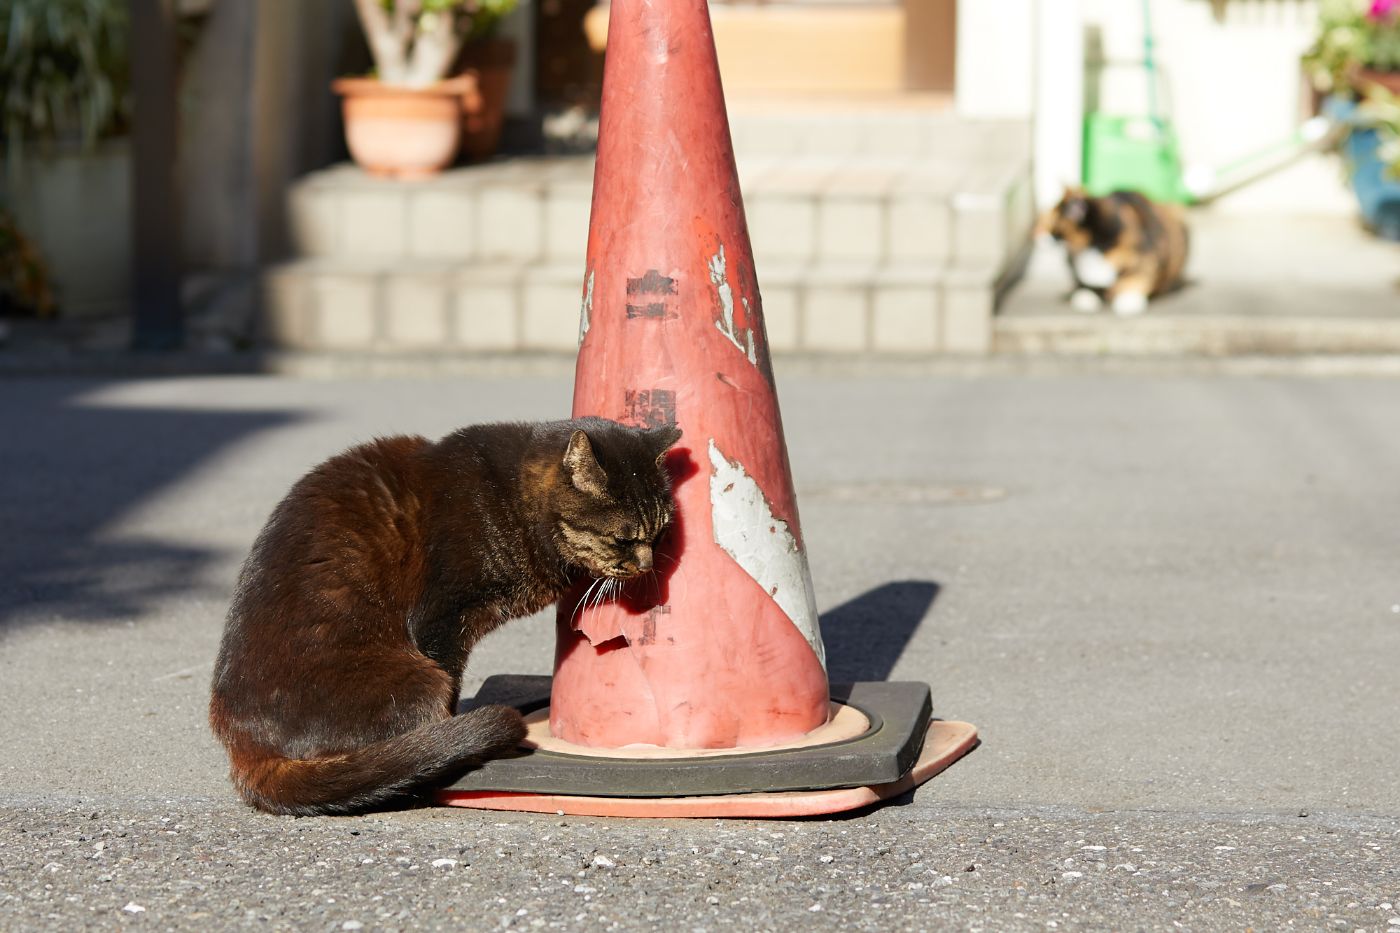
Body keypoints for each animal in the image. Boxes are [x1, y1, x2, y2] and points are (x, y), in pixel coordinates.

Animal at [209, 417, 682, 816]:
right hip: (417, 679)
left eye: (659, 533)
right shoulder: (443, 621)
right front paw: (456, 742)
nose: (646, 565)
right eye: (623, 539)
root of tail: (244, 748)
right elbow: (452, 687)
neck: (510, 496)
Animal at [1037, 187, 1189, 316]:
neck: (1093, 248)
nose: (1036, 235)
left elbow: (1136, 279)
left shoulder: (1147, 257)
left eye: (1052, 224)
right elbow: (1085, 285)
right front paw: (1085, 296)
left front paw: (1128, 301)